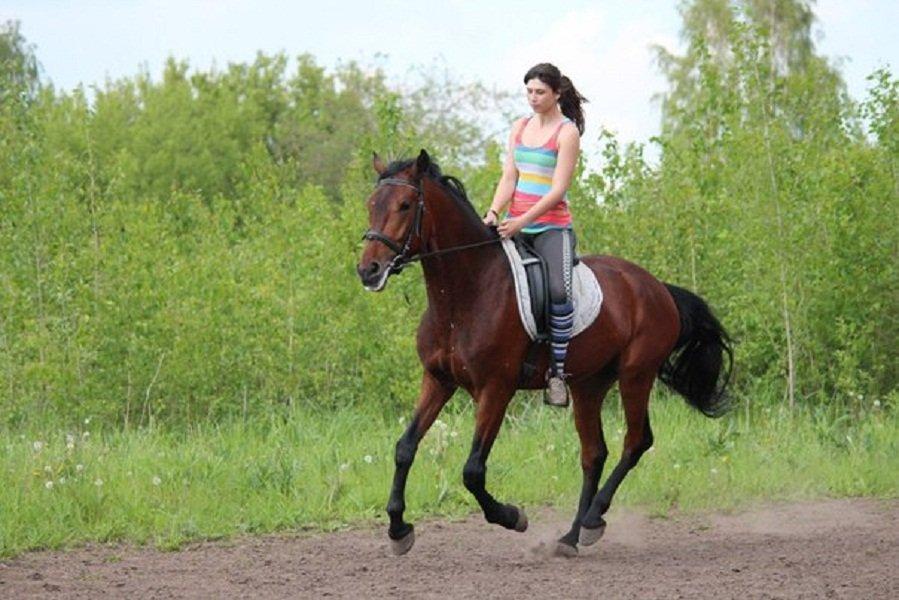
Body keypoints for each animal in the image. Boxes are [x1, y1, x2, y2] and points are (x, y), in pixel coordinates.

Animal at [356, 150, 736, 556]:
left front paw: (512, 517)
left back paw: (592, 519)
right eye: (371, 205)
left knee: (636, 442)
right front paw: (398, 530)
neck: (464, 295)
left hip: (636, 374)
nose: (368, 270)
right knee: (594, 453)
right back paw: (570, 537)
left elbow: (473, 471)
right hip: (589, 384)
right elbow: (405, 447)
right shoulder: (438, 380)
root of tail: (657, 287)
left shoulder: (497, 388)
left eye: (405, 205)